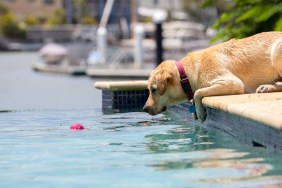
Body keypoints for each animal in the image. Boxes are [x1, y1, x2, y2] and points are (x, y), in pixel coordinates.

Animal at [144, 31, 282, 121]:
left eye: (154, 90)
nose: (145, 108)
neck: (186, 75)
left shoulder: (232, 82)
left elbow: (198, 92)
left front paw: (199, 112)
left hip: (276, 49)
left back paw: (267, 87)